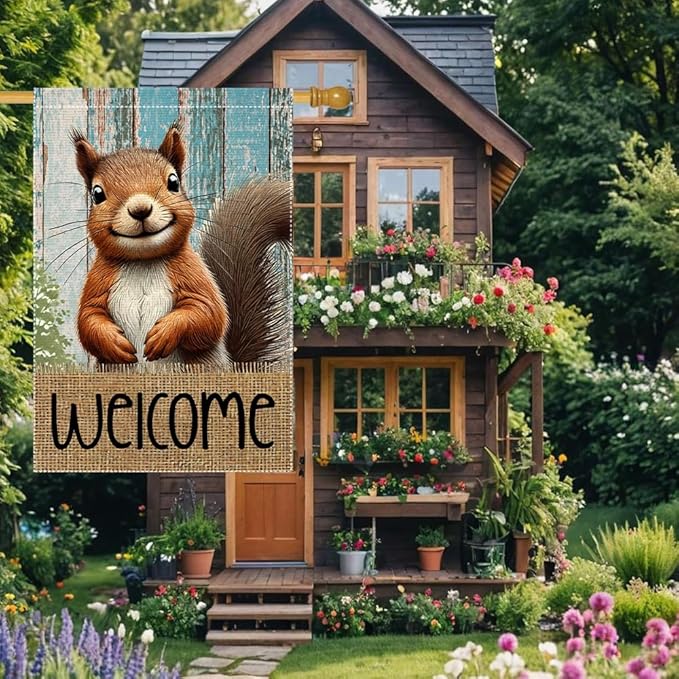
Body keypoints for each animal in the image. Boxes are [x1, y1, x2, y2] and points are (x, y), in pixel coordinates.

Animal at [71, 124, 291, 367]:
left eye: (174, 182)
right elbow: (88, 318)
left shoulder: (194, 273)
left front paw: (164, 334)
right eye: (97, 194)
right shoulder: (98, 280)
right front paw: (113, 342)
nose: (140, 209)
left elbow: (208, 313)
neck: (143, 262)